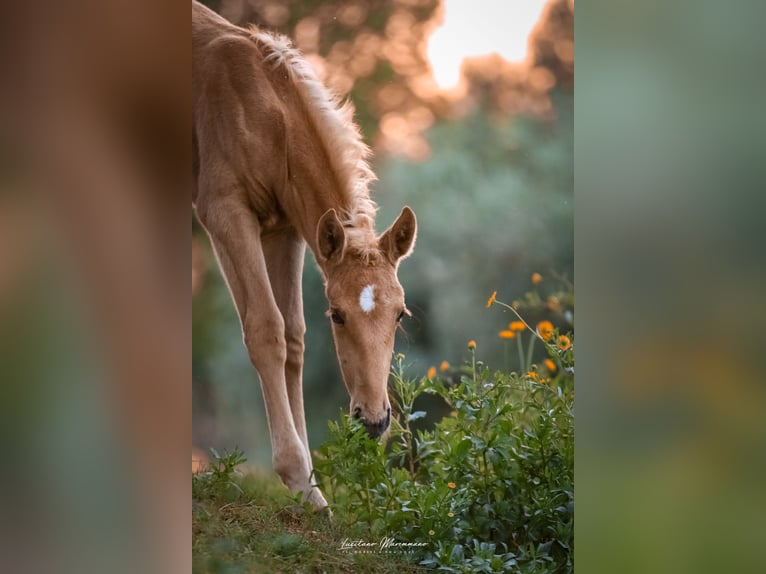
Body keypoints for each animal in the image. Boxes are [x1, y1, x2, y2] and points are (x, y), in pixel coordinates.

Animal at [192, 2, 420, 510]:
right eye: (337, 315)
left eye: (399, 315)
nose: (374, 420)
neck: (267, 113)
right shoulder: (223, 213)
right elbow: (265, 329)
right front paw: (299, 481)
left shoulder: (285, 231)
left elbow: (294, 339)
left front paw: (311, 488)